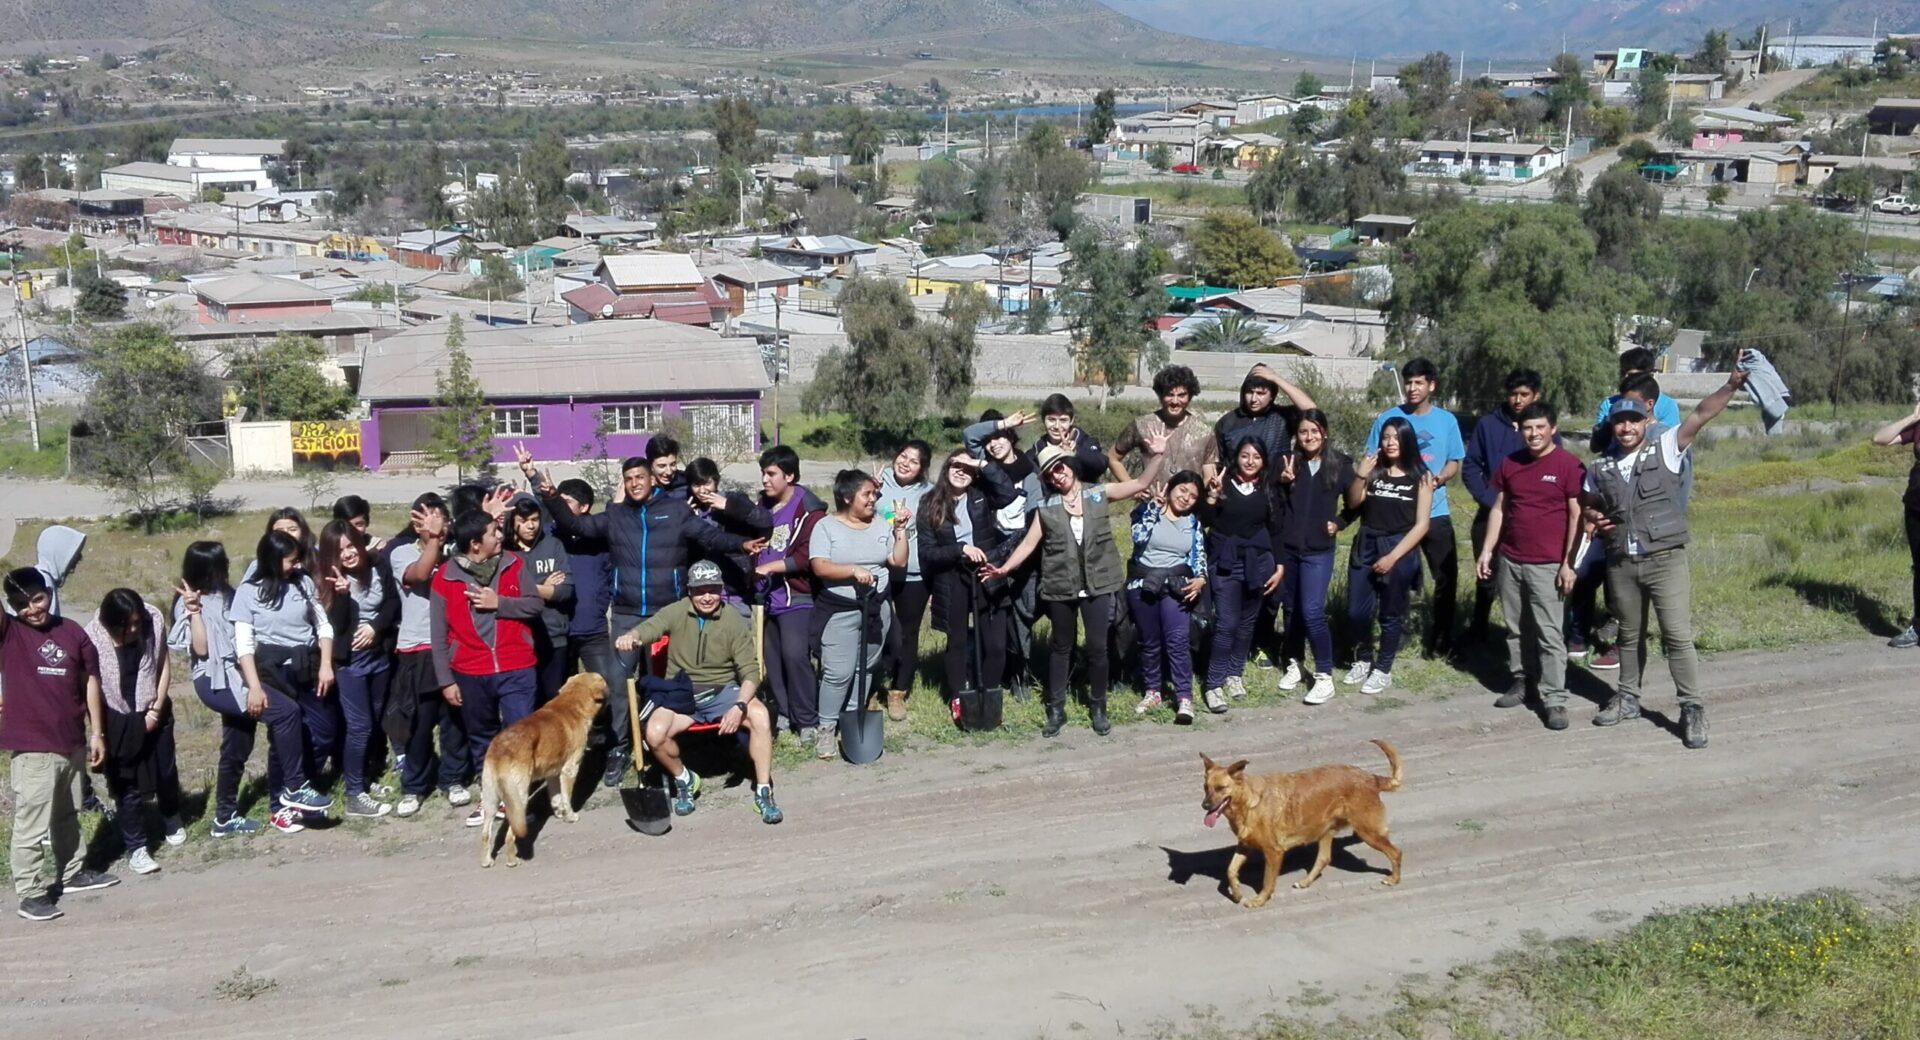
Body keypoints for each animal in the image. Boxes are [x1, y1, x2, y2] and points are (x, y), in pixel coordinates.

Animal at [476, 671, 602, 867]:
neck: (570, 703)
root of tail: (501, 750)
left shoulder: (552, 774)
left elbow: (556, 799)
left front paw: (560, 814)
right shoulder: (569, 770)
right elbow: (566, 798)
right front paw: (570, 816)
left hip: (490, 799)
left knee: (485, 834)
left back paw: (487, 861)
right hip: (518, 798)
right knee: (510, 836)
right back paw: (512, 860)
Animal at [1190, 744, 1405, 909]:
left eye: (1221, 788)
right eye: (1205, 788)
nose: (1204, 806)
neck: (1249, 803)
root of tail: (1371, 777)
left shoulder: (1274, 852)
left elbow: (1267, 881)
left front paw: (1259, 900)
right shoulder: (1244, 845)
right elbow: (1230, 870)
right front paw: (1236, 893)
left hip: (1367, 832)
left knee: (1396, 852)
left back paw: (1393, 879)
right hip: (1326, 831)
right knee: (1323, 859)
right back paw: (1305, 881)